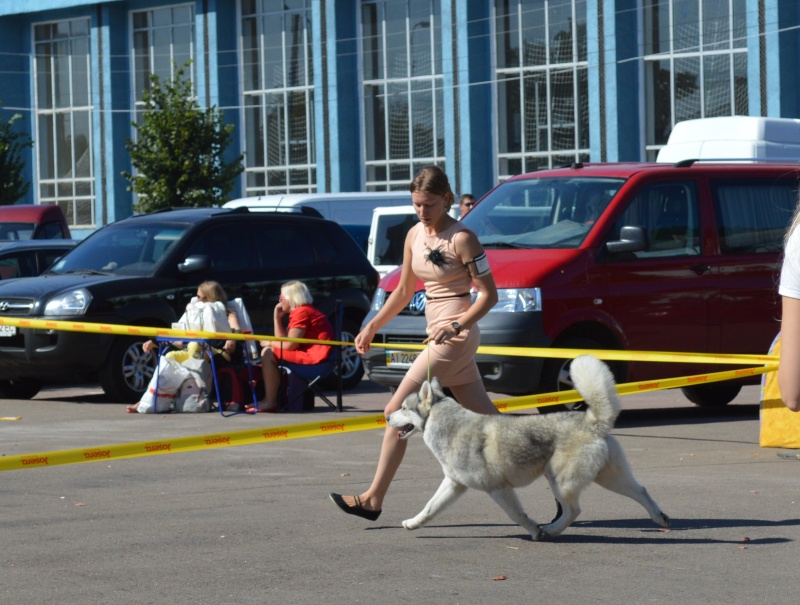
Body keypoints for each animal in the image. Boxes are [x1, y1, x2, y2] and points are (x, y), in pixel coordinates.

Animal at [388, 352, 668, 540]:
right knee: (641, 491)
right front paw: (412, 523)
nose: (388, 417)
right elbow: (430, 508)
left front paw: (534, 530)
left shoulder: (499, 489)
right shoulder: (454, 484)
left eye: (403, 408)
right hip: (610, 478)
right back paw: (659, 517)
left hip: (560, 481)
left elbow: (517, 515)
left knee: (573, 510)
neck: (450, 426)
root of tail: (593, 421)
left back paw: (551, 529)